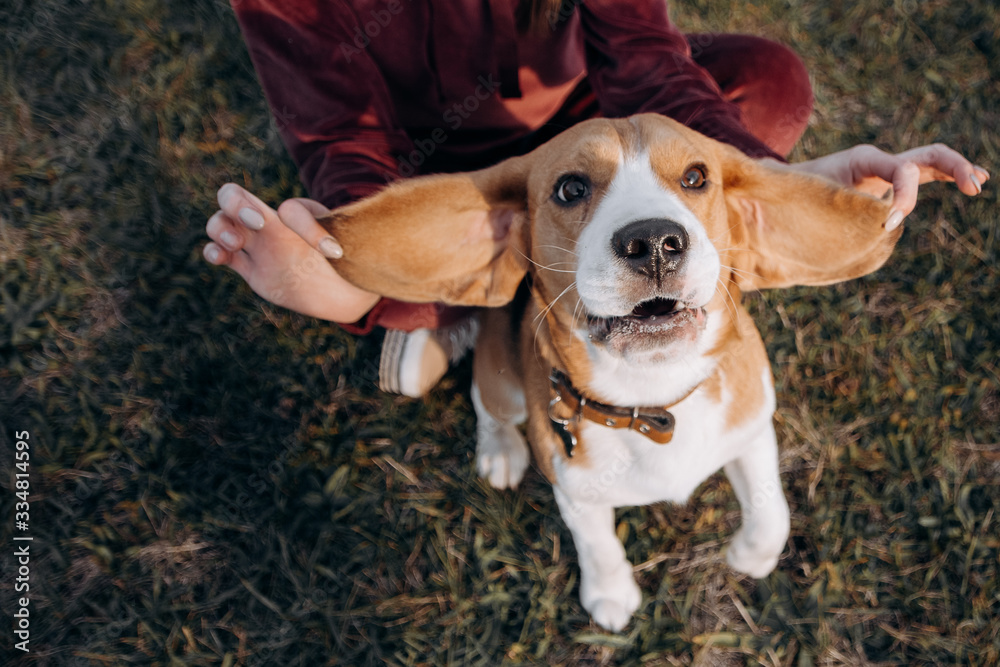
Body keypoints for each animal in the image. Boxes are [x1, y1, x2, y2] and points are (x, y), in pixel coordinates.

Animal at [318, 113, 900, 632]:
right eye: (571, 188)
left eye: (695, 177)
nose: (656, 243)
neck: (653, 395)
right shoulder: (575, 491)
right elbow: (598, 543)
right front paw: (611, 594)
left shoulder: (753, 425)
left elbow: (771, 509)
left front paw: (751, 556)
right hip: (502, 381)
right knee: (490, 408)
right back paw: (499, 452)